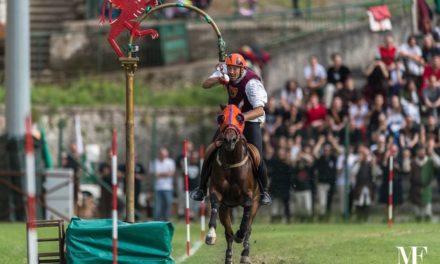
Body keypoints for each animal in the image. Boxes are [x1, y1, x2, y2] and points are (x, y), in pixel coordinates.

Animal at [205, 104, 260, 264]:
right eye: (221, 117)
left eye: (240, 117)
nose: (229, 140)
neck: (231, 161)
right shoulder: (217, 192)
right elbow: (214, 206)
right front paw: (210, 235)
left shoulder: (249, 196)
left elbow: (246, 221)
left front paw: (240, 235)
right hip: (226, 208)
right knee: (228, 233)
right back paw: (229, 256)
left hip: (257, 202)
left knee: (248, 227)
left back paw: (245, 253)